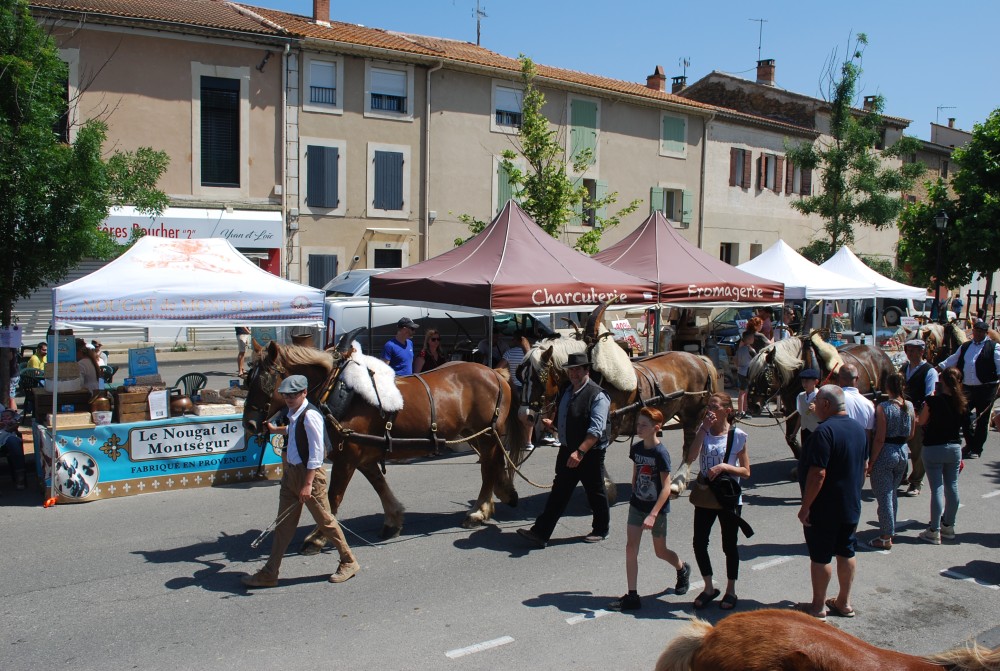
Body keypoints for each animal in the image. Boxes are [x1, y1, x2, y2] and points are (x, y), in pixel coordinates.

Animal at [243, 336, 528, 540]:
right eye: (247, 379)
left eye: (266, 379)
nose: (249, 423)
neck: (335, 390)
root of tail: (495, 373)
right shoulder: (363, 455)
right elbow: (379, 485)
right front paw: (393, 519)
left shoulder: (347, 457)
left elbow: (334, 497)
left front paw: (318, 537)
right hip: (474, 434)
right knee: (491, 464)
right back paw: (500, 495)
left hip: (487, 434)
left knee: (489, 467)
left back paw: (479, 510)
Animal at [744, 334, 900, 460]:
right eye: (749, 374)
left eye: (764, 376)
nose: (752, 406)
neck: (802, 371)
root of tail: (881, 353)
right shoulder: (792, 410)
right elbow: (790, 437)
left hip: (882, 398)